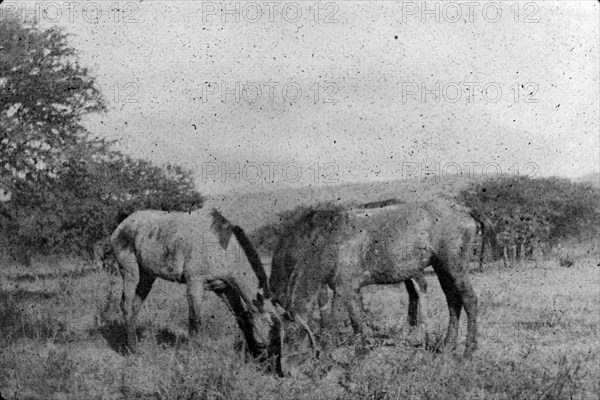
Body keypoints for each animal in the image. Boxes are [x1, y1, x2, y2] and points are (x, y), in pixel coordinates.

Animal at [112, 209, 286, 376]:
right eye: (270, 335)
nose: (278, 372)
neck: (222, 247)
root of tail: (122, 225)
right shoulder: (195, 283)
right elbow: (194, 320)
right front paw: (193, 359)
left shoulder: (225, 288)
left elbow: (242, 319)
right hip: (130, 272)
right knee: (126, 305)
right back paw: (131, 350)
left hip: (147, 276)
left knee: (135, 306)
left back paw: (134, 344)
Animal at [272, 198, 488, 358]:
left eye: (290, 336)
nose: (285, 371)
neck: (332, 240)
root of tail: (465, 209)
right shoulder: (350, 289)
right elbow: (358, 319)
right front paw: (362, 349)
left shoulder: (342, 289)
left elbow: (333, 320)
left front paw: (326, 354)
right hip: (442, 268)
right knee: (453, 301)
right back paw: (446, 346)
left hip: (455, 268)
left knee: (469, 301)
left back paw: (468, 351)